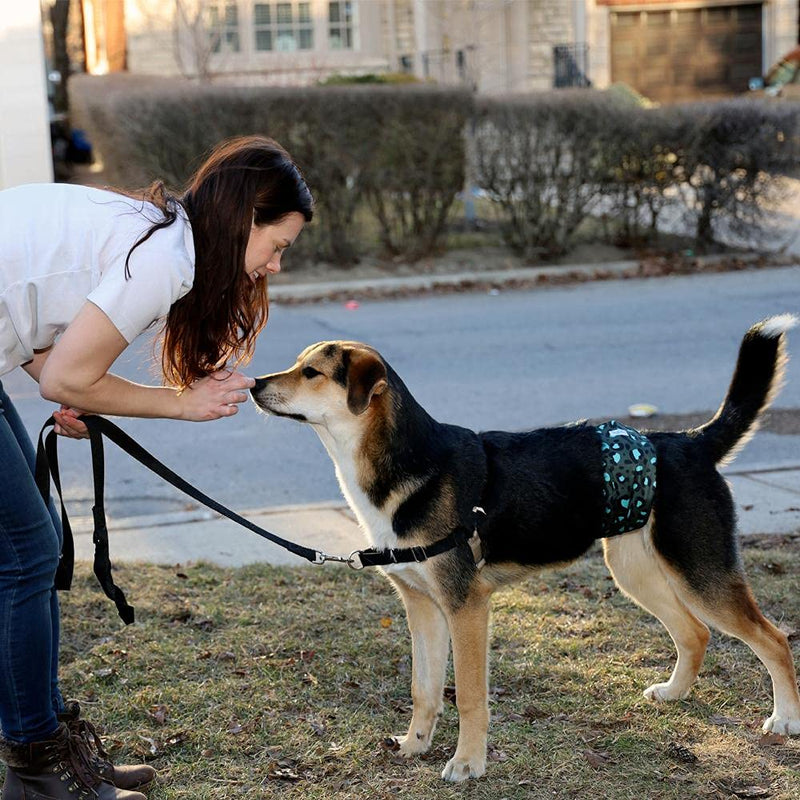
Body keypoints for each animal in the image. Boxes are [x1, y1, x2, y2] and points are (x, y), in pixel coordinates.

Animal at [252, 316, 800, 784]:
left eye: (311, 372)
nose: (253, 384)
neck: (406, 462)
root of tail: (691, 441)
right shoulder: (422, 607)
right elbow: (423, 688)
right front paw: (414, 744)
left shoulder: (466, 608)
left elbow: (469, 696)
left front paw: (468, 763)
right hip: (635, 570)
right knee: (694, 632)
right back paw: (673, 693)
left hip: (700, 572)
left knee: (772, 638)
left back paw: (784, 718)